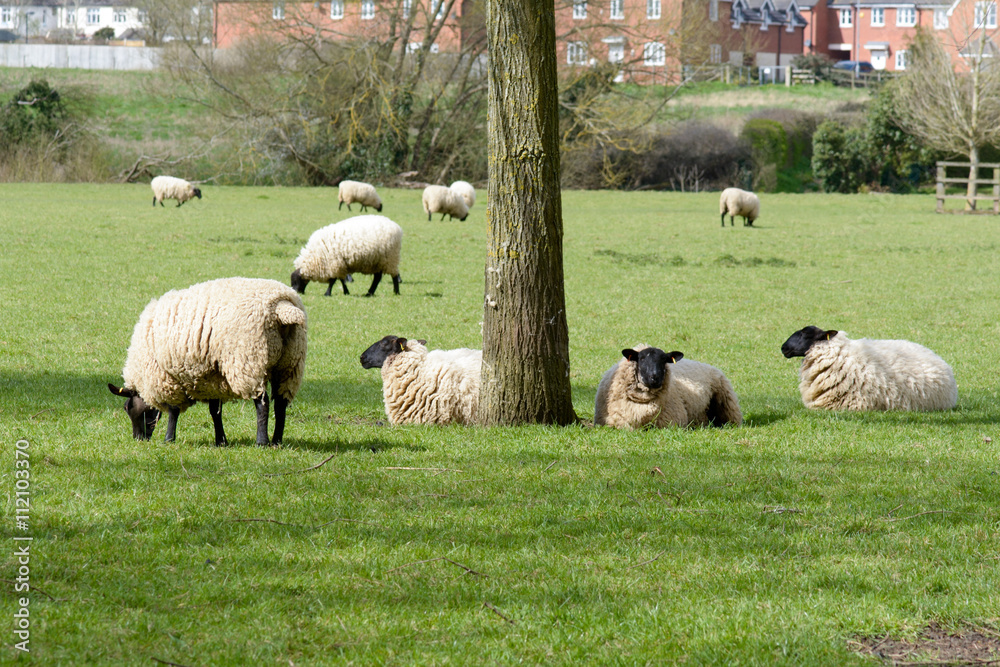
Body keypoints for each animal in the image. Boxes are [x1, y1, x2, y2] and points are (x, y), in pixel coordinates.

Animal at [107, 277, 308, 446]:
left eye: (128, 408)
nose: (138, 439)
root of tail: (282, 308)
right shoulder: (211, 377)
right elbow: (214, 411)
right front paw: (221, 441)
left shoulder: (168, 377)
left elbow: (173, 410)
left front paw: (169, 439)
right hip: (290, 365)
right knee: (281, 403)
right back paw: (277, 441)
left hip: (250, 362)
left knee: (262, 403)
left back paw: (262, 441)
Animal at [594, 345, 743, 429]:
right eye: (641, 358)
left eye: (664, 360)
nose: (655, 377)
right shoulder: (619, 422)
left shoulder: (671, 423)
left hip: (727, 404)